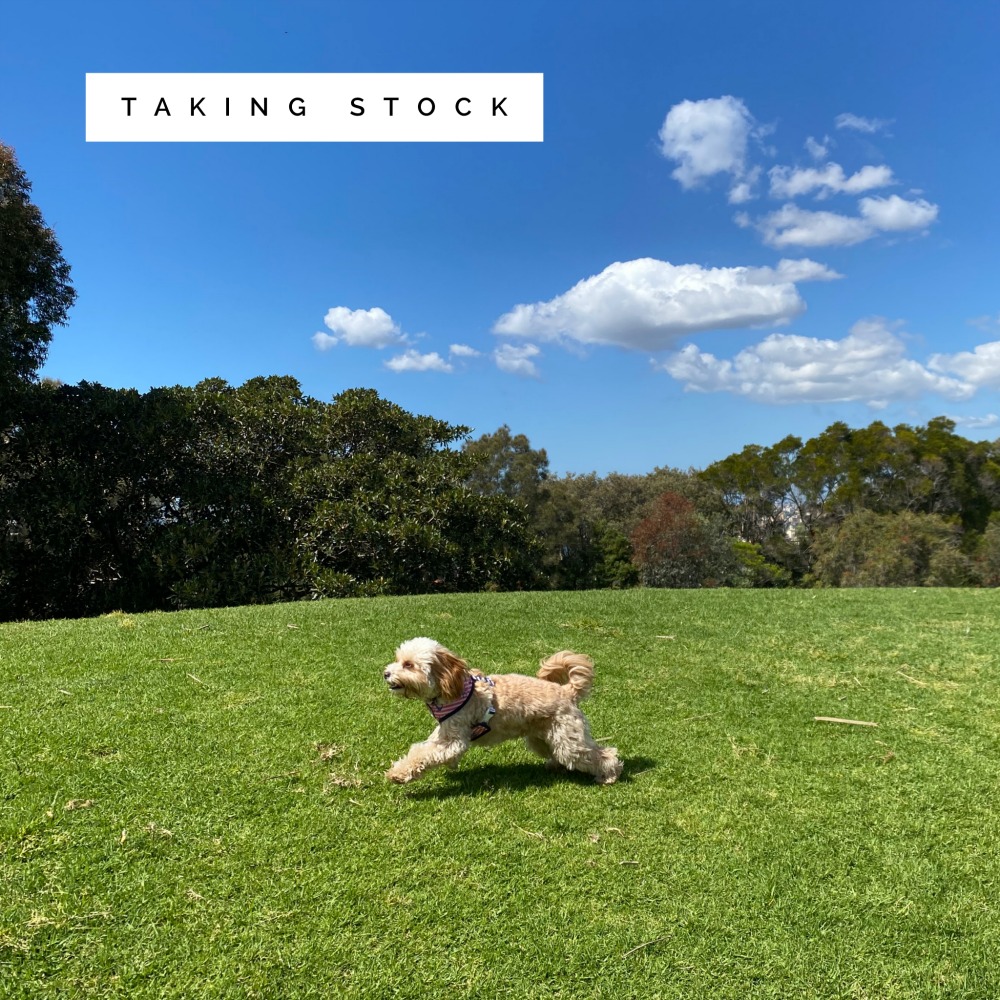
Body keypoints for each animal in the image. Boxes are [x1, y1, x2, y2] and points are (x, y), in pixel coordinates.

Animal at [380, 636, 620, 784]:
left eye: (408, 665)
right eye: (398, 660)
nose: (386, 673)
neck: (452, 690)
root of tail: (567, 691)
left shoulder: (454, 738)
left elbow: (426, 754)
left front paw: (398, 774)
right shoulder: (443, 732)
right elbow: (420, 750)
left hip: (568, 741)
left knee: (603, 754)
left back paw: (609, 775)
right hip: (543, 737)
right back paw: (555, 767)